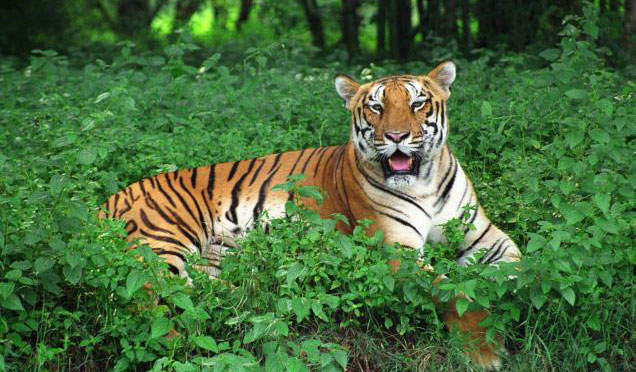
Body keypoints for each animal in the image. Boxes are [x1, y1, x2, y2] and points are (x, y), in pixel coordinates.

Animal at [99, 61, 520, 370]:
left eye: (418, 104)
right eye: (377, 107)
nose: (397, 136)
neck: (424, 182)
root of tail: (109, 199)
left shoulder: (486, 237)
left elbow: (518, 268)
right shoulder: (394, 252)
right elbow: (453, 290)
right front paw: (484, 352)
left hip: (215, 256)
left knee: (206, 291)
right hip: (164, 240)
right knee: (146, 297)